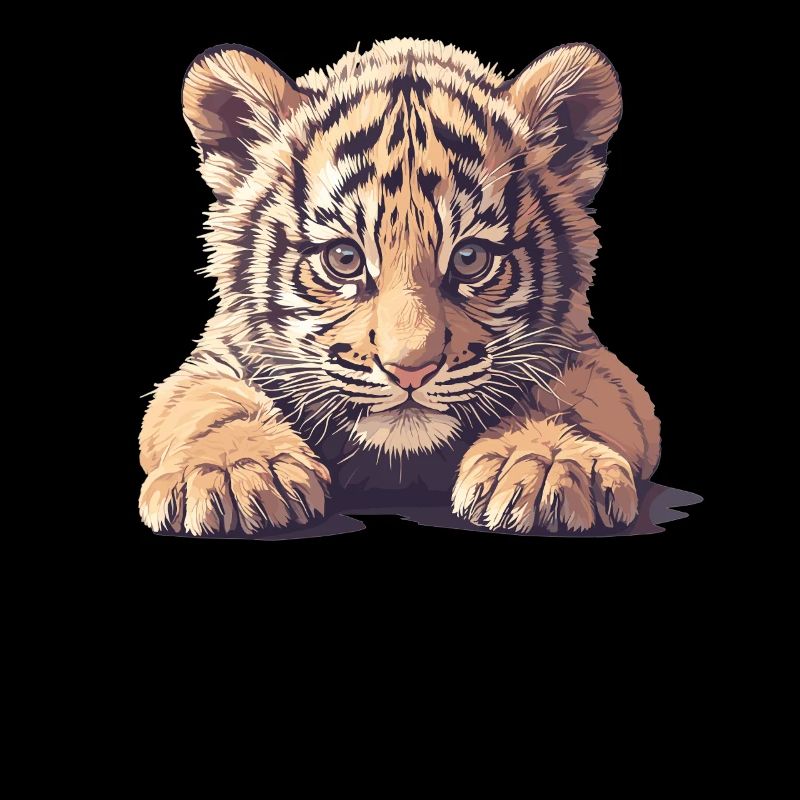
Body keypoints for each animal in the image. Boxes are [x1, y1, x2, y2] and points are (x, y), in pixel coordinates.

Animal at [138, 37, 661, 536]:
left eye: (470, 259)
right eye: (344, 259)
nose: (411, 371)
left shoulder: (586, 353)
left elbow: (574, 396)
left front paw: (548, 463)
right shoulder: (215, 357)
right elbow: (211, 402)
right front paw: (234, 469)